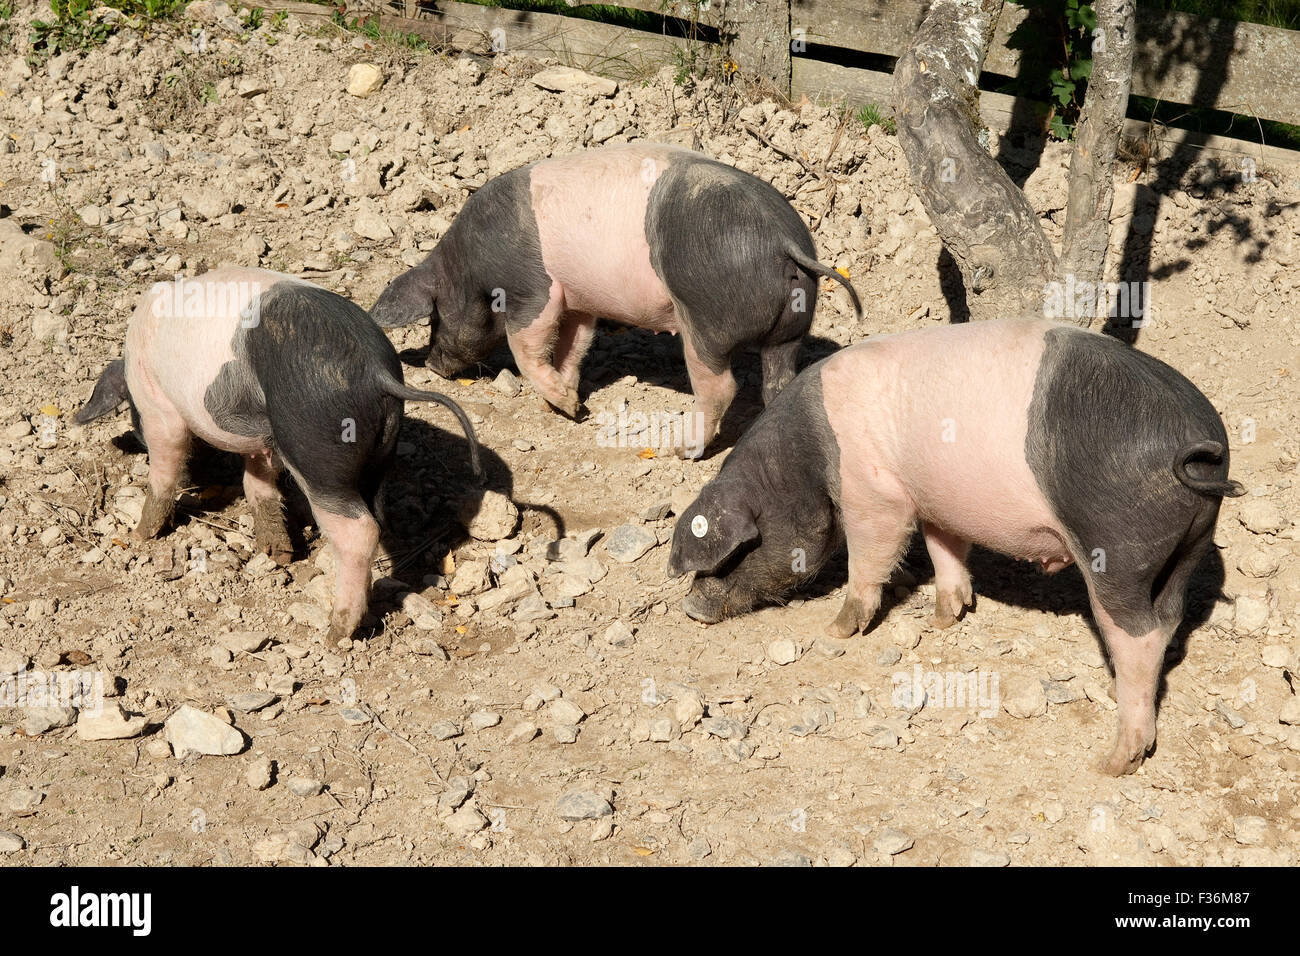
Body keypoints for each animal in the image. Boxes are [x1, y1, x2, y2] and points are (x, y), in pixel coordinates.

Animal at [76, 265, 483, 647]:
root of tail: (376, 372)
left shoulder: (159, 407)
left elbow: (165, 465)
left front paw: (138, 535)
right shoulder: (265, 435)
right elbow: (257, 479)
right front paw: (279, 553)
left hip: (314, 450)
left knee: (358, 529)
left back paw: (335, 635)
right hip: (375, 448)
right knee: (378, 513)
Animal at [366, 140, 857, 457]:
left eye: (435, 315)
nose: (432, 365)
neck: (468, 269)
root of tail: (783, 242)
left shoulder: (533, 289)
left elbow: (526, 346)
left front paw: (568, 407)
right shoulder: (580, 301)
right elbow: (574, 346)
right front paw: (570, 402)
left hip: (705, 322)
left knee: (721, 386)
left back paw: (680, 450)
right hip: (792, 329)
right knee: (779, 381)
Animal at [665, 321, 1242, 780]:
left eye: (742, 548)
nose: (690, 609)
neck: (805, 464)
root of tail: (1197, 445)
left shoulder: (875, 494)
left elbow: (871, 554)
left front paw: (837, 629)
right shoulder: (938, 503)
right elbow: (945, 550)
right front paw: (943, 618)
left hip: (1116, 549)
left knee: (1136, 636)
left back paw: (1112, 763)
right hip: (1191, 546)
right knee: (1168, 620)